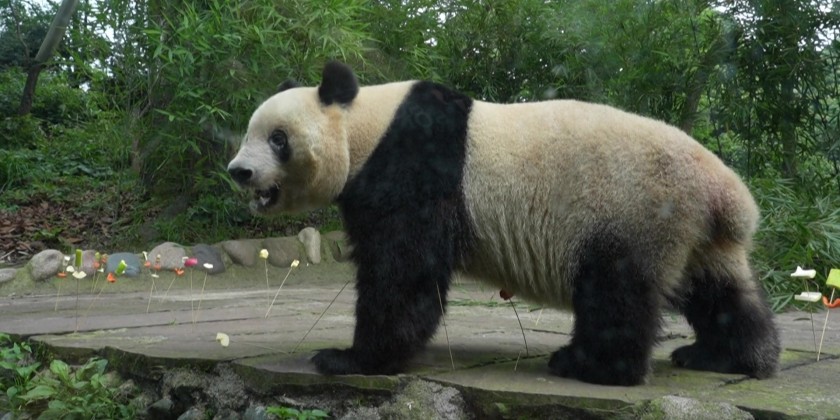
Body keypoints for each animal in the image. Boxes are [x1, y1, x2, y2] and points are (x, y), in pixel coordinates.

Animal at [227, 61, 780, 386]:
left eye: (278, 139)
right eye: (251, 134)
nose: (239, 172)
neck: (365, 125)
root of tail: (724, 192)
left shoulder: (416, 164)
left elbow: (403, 272)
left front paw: (349, 359)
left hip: (632, 208)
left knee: (616, 291)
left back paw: (587, 366)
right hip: (697, 235)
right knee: (719, 293)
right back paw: (727, 357)